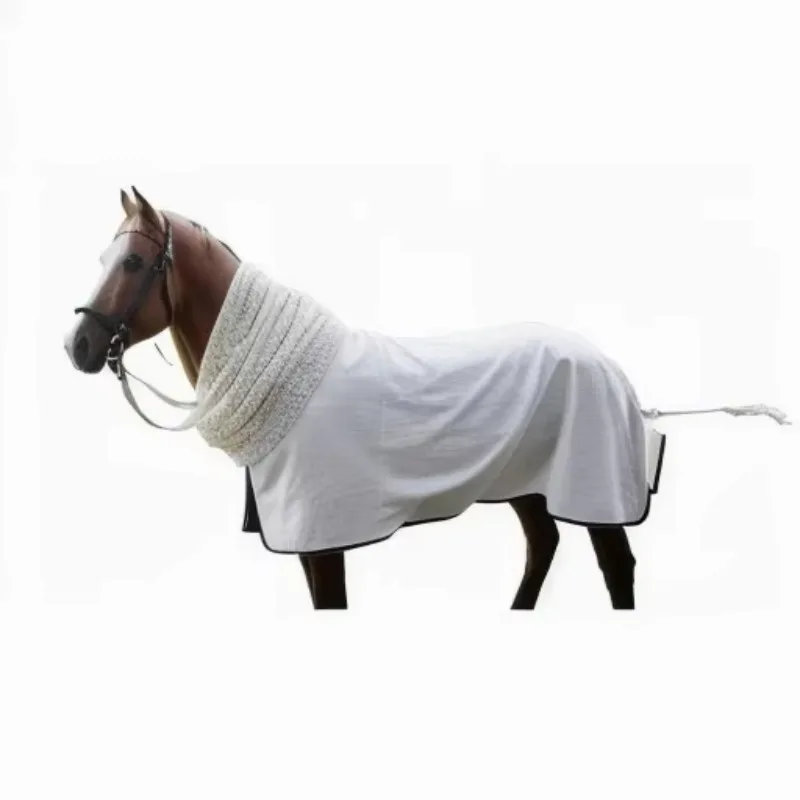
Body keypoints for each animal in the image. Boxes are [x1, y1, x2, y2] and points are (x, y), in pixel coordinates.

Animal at [64, 187, 788, 610]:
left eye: (132, 264)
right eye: (103, 258)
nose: (77, 345)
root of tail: (610, 368)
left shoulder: (321, 534)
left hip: (593, 488)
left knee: (617, 566)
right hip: (527, 484)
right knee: (544, 546)